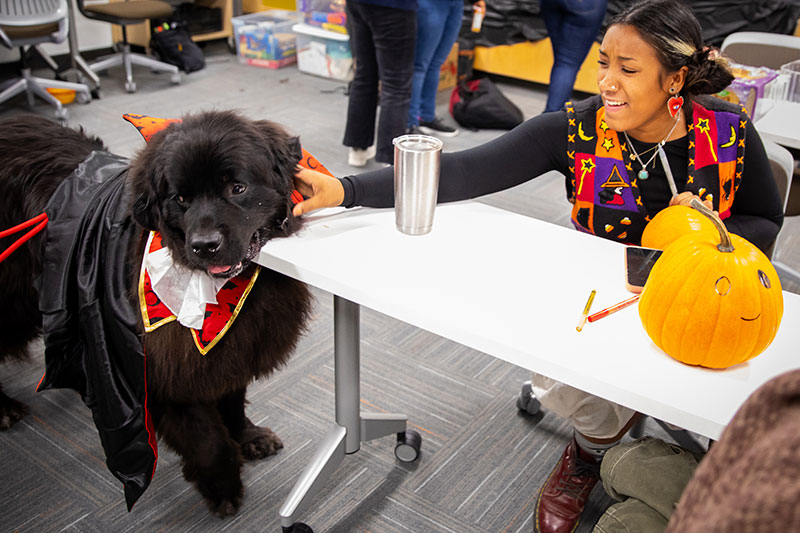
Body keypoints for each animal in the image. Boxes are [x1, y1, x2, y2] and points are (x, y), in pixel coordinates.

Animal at [0, 112, 312, 516]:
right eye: (181, 198)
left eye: (238, 188)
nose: (205, 245)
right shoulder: (157, 370)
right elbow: (206, 438)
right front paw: (222, 486)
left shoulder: (233, 344)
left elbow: (231, 397)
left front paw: (247, 436)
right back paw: (4, 408)